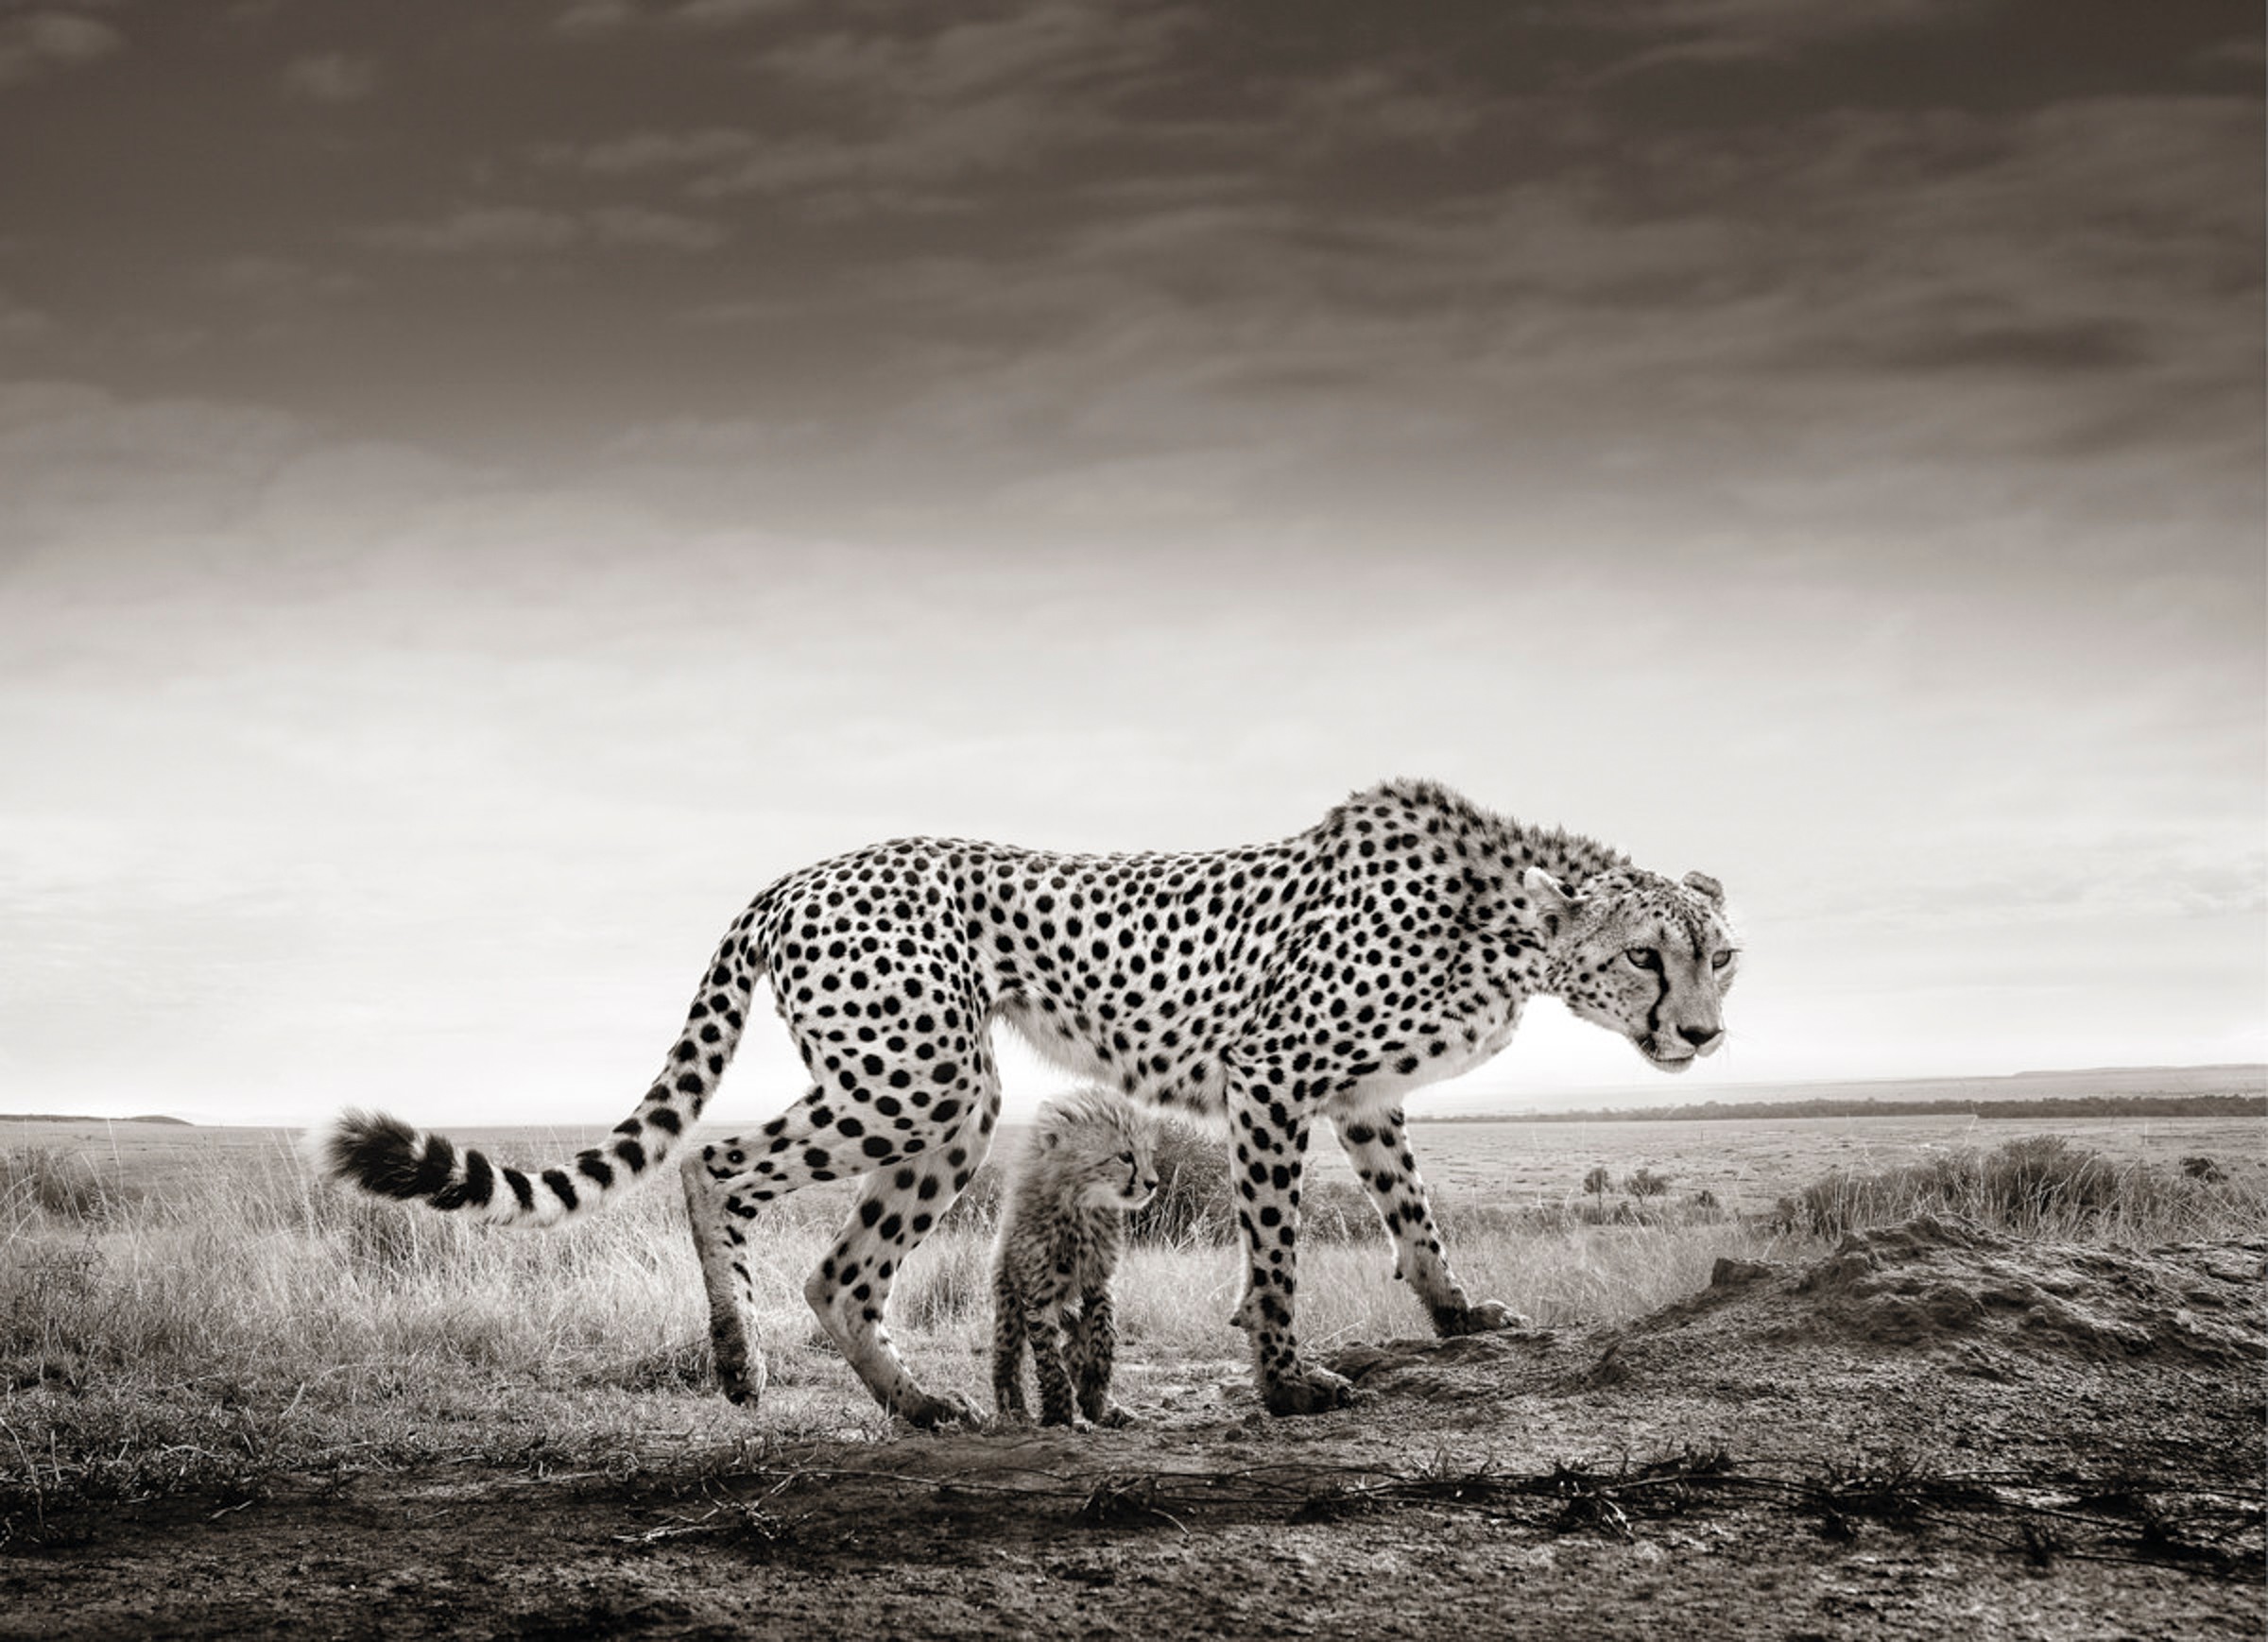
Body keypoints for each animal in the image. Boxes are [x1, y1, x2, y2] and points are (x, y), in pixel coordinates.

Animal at [989, 1087, 1159, 1428]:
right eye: (1125, 1156)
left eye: (1149, 1153)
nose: (1153, 1183)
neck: (1081, 1207)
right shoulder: (1039, 1294)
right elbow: (1049, 1360)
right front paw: (1058, 1412)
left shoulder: (1099, 1282)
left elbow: (1103, 1336)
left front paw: (1095, 1394)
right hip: (1009, 1303)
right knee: (1006, 1355)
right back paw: (1013, 1410)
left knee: (1073, 1344)